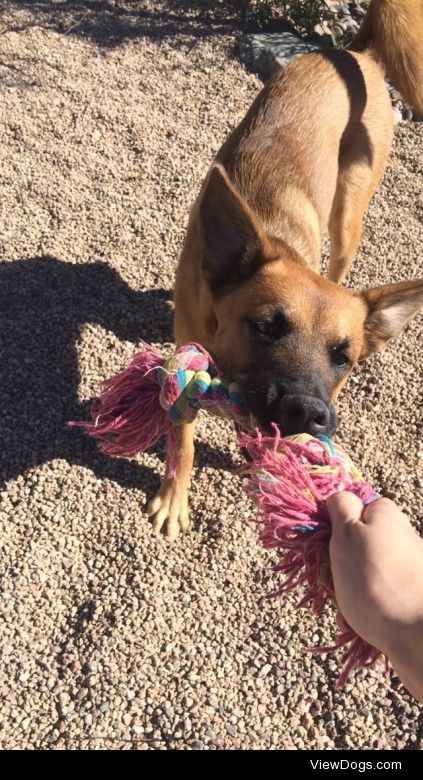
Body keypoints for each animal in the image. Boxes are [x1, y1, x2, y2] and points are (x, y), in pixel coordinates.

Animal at [147, 0, 423, 540]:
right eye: (266, 327)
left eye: (344, 357)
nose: (309, 413)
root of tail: (355, 52)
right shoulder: (187, 359)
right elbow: (183, 437)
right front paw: (174, 498)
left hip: (349, 216)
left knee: (340, 261)